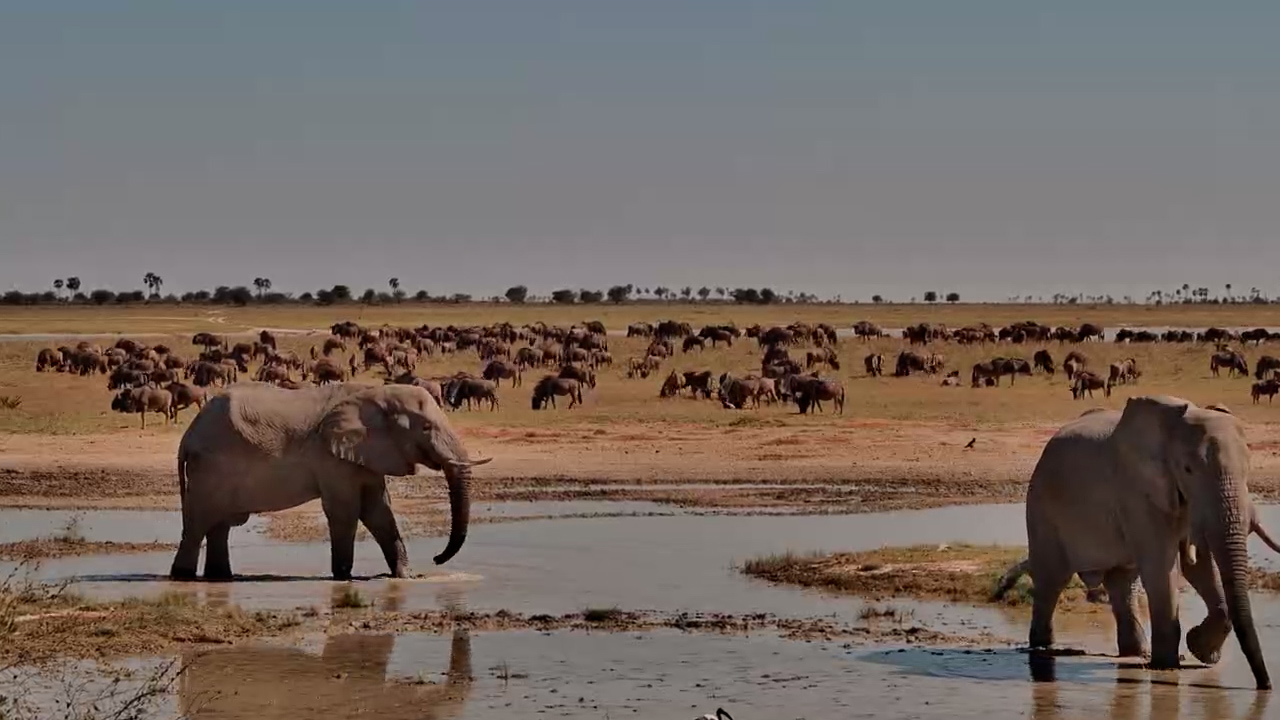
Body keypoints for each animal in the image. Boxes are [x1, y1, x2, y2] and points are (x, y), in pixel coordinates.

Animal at [170, 383, 488, 581]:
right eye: (426, 427)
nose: (436, 559)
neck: (376, 393)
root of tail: (188, 436)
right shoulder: (331, 457)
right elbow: (345, 511)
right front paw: (344, 577)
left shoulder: (367, 454)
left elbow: (378, 510)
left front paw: (404, 576)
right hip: (210, 468)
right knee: (199, 523)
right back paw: (182, 577)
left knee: (218, 525)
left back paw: (220, 577)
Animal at [1012, 396, 1272, 689]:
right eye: (1188, 469)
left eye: (1248, 469)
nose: (1265, 686)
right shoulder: (1138, 492)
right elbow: (1162, 566)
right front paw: (1168, 666)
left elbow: (1199, 565)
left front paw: (1199, 651)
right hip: (1041, 507)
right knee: (1052, 581)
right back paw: (1042, 649)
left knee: (1122, 583)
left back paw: (1135, 654)